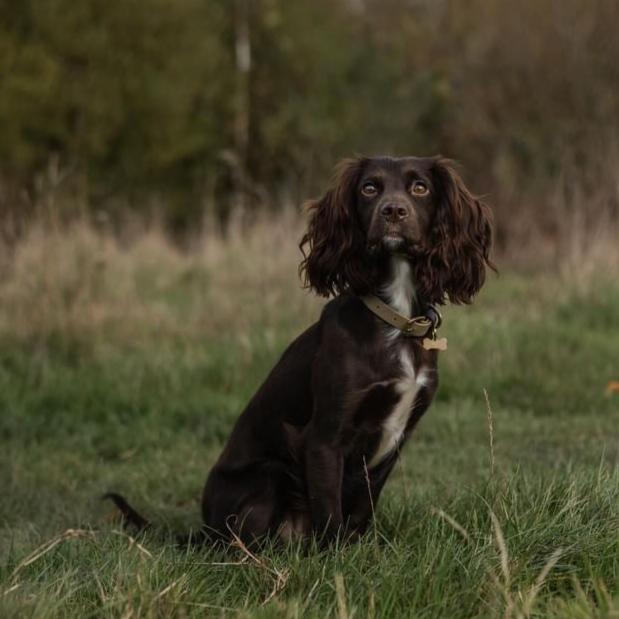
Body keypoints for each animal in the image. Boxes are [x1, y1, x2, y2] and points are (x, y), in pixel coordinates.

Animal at [106, 155, 494, 548]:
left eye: (420, 188)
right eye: (370, 188)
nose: (393, 211)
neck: (392, 318)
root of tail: (204, 528)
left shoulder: (397, 440)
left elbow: (363, 507)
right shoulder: (324, 436)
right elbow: (329, 510)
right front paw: (338, 555)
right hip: (270, 473)